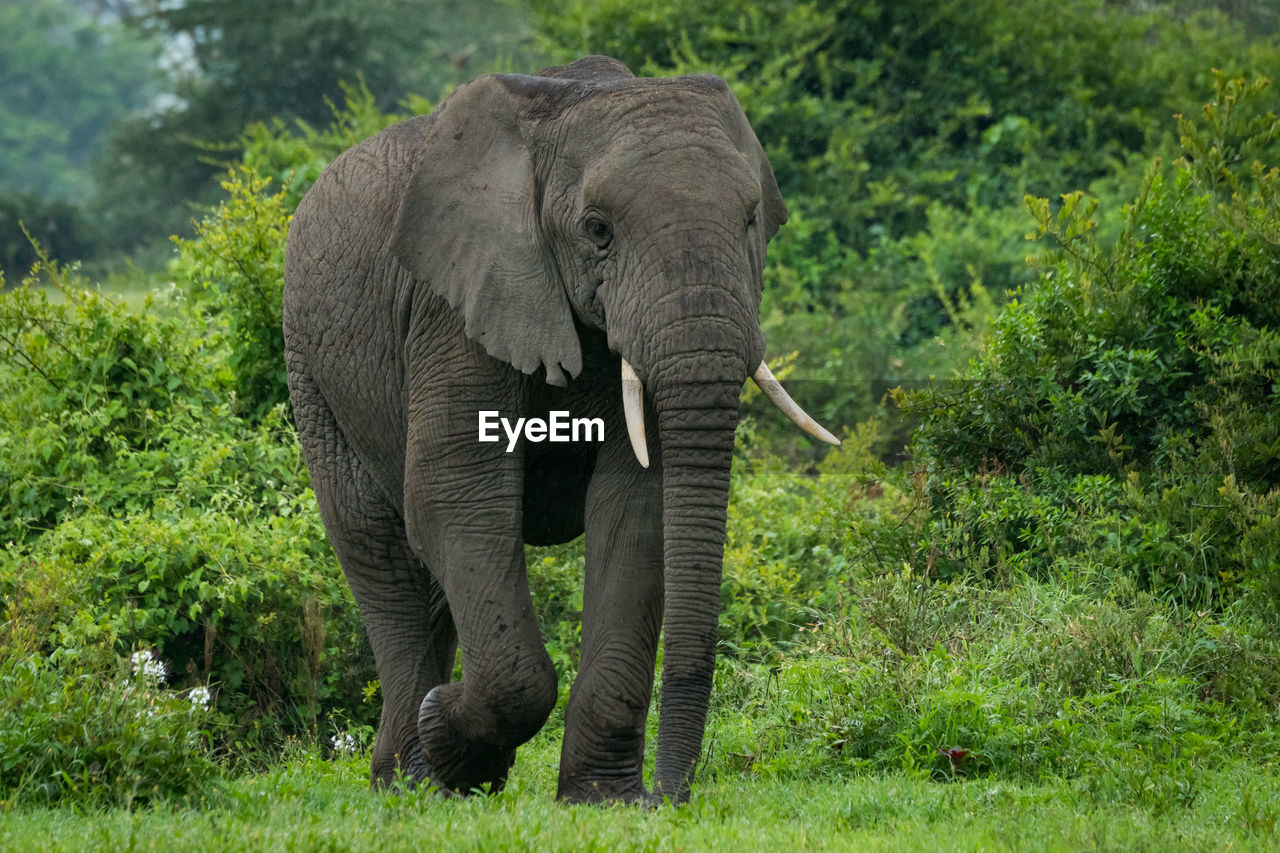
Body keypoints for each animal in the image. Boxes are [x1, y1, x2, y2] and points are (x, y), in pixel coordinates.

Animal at [284, 54, 834, 804]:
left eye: (752, 220)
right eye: (597, 229)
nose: (668, 797)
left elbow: (635, 507)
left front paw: (600, 799)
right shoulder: (453, 304)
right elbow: (458, 497)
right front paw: (454, 739)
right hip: (310, 366)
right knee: (380, 546)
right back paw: (413, 781)